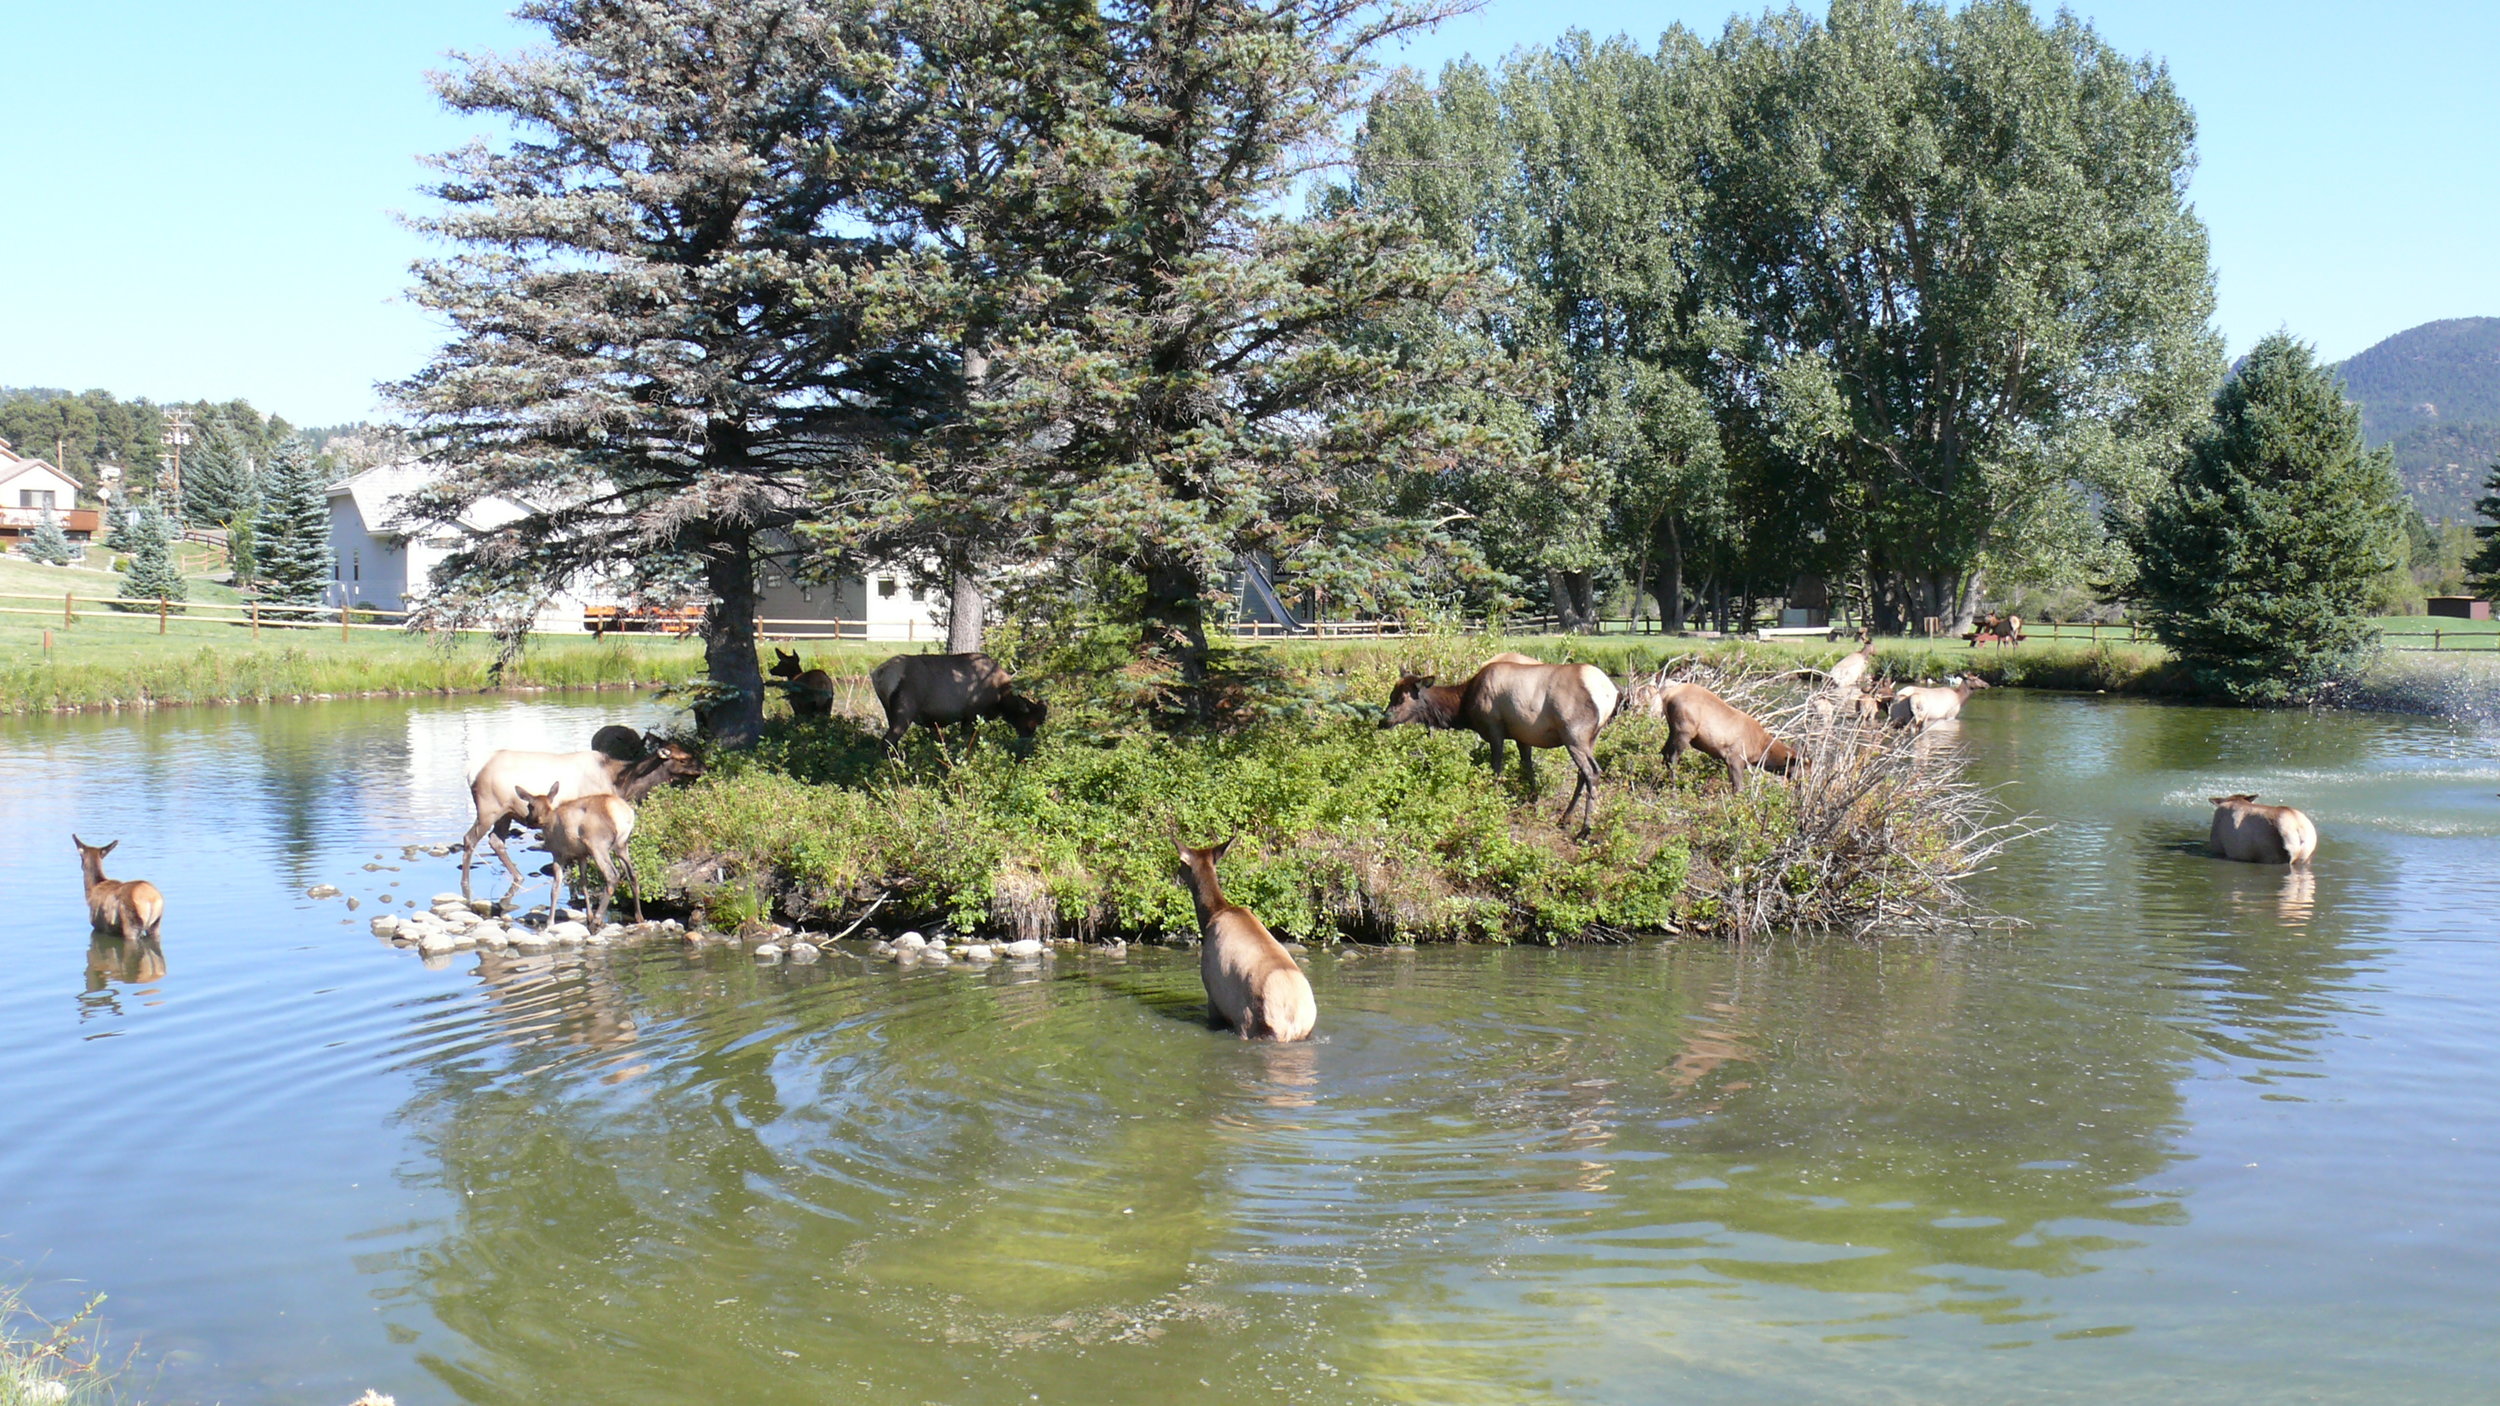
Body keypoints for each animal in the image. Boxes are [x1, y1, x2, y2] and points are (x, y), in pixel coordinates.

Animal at [461, 740, 704, 898]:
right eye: (683, 759)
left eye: (689, 753)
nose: (703, 767)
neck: (621, 783)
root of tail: (472, 773)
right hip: (489, 808)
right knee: (469, 838)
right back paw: (465, 882)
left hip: (506, 813)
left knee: (495, 840)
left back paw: (518, 876)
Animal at [512, 784, 644, 928]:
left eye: (529, 806)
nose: (527, 820)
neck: (548, 822)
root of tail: (623, 813)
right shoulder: (581, 855)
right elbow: (583, 883)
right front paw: (588, 916)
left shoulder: (558, 853)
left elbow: (555, 888)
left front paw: (550, 922)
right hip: (621, 846)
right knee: (632, 875)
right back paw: (639, 917)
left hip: (598, 845)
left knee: (612, 875)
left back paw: (597, 920)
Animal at [1172, 838, 1316, 1042]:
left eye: (1182, 864)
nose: (1176, 872)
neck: (1210, 917)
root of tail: (1291, 1019)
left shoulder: (1213, 995)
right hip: (1305, 1031)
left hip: (1249, 1022)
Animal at [1380, 658, 1619, 833]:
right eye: (1391, 695)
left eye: (1401, 699)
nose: (1383, 721)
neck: (1463, 706)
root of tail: (1609, 693)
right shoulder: (1523, 735)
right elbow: (1528, 768)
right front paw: (1533, 805)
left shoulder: (1494, 727)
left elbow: (1496, 767)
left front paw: (1492, 805)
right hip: (1592, 737)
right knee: (1582, 773)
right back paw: (1565, 819)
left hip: (1574, 734)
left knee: (1592, 771)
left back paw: (1585, 830)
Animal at [1660, 685, 1804, 790]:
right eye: (1803, 765)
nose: (1803, 783)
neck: (1760, 751)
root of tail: (1667, 695)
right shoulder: (1735, 758)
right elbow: (1738, 789)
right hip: (1684, 730)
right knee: (1672, 757)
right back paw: (1673, 790)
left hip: (1672, 729)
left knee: (1663, 752)